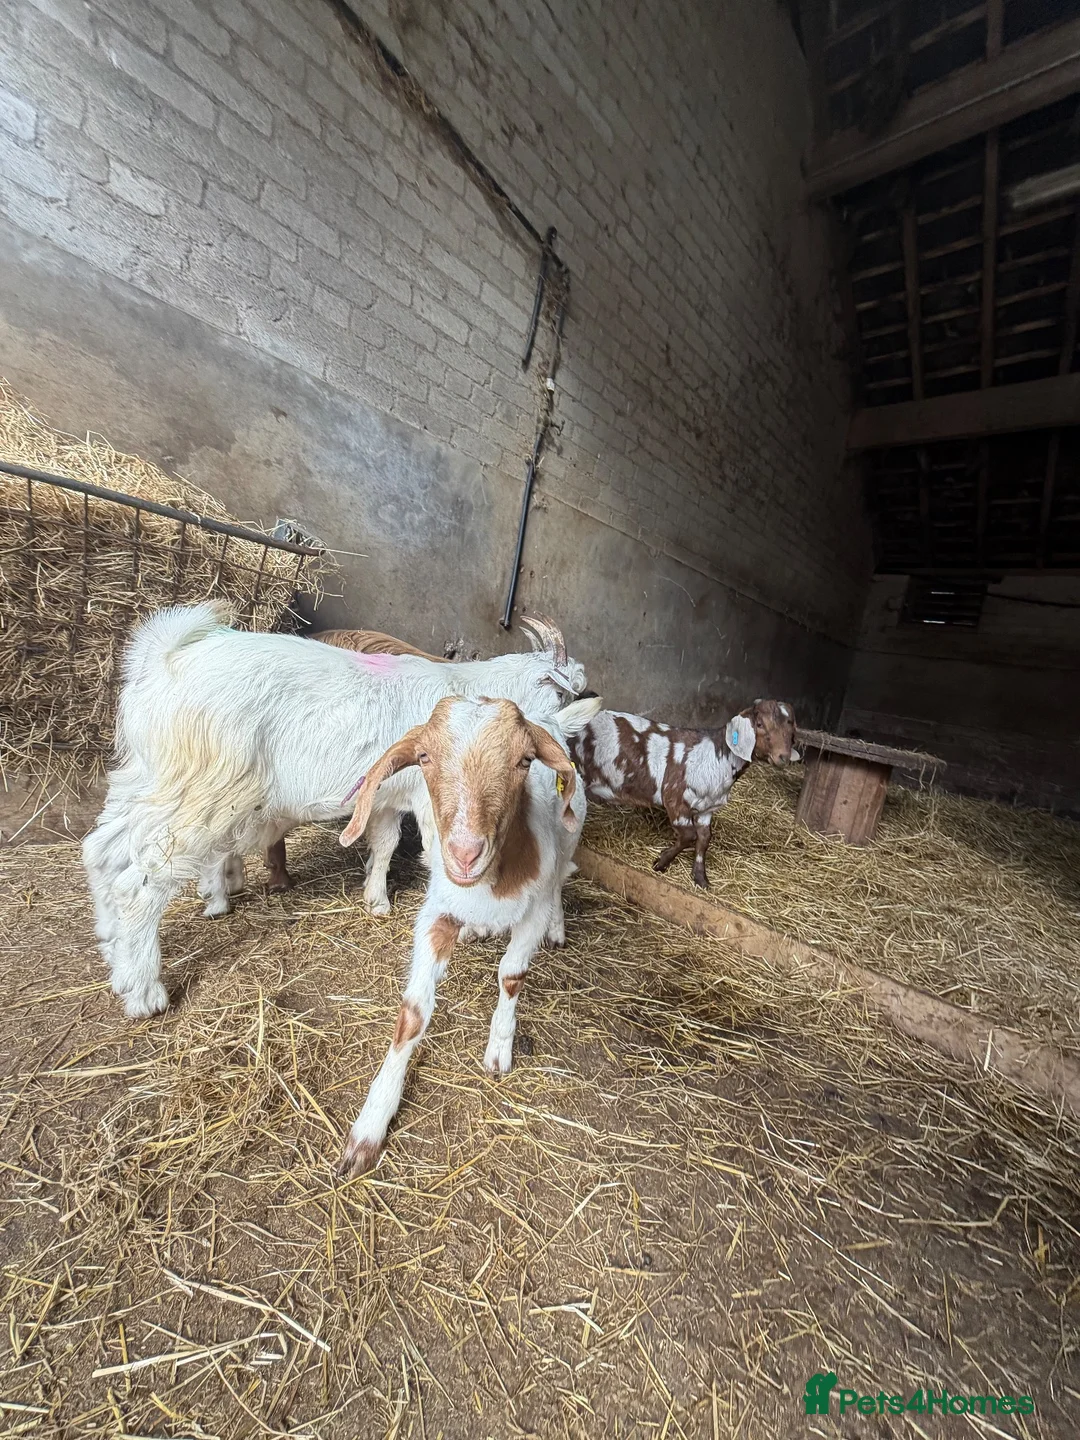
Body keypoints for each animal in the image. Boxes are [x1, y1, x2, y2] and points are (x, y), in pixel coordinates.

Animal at [82, 604, 588, 1019]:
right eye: (561, 695)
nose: (566, 743)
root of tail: (164, 662)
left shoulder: (388, 796)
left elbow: (384, 844)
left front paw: (377, 900)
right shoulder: (431, 800)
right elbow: (438, 854)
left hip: (149, 779)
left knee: (102, 851)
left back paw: (112, 950)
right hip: (201, 789)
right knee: (140, 882)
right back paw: (144, 991)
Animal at [336, 692, 601, 1176]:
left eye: (524, 760)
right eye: (423, 757)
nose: (464, 853)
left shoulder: (530, 913)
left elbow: (511, 975)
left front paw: (499, 1048)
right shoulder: (436, 912)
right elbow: (413, 1014)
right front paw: (370, 1125)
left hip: (570, 837)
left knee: (562, 875)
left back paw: (557, 927)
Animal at [569, 700, 799, 887]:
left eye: (791, 728)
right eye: (759, 724)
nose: (783, 757)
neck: (717, 757)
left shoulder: (707, 809)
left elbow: (704, 838)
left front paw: (700, 878)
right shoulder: (675, 799)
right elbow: (689, 836)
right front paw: (661, 862)